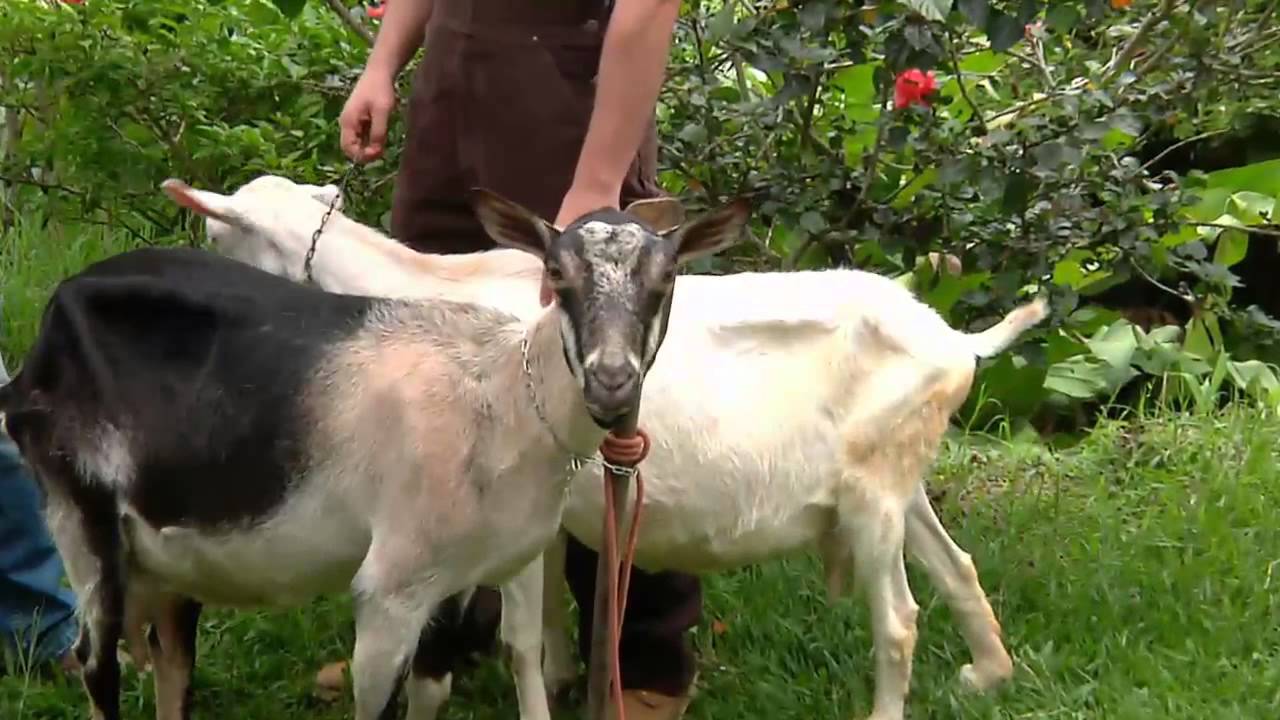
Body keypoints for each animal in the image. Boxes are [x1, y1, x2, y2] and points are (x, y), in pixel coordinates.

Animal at [0, 188, 747, 720]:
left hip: (166, 549)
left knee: (172, 657)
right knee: (96, 664)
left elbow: (434, 689)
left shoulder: (457, 578)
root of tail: (40, 348)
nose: (612, 379)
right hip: (81, 513)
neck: (505, 397)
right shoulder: (391, 588)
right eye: (557, 275)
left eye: (665, 280)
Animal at [163, 175, 1046, 720]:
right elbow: (542, 621)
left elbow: (517, 634)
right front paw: (558, 679)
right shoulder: (545, 513)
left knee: (898, 620)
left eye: (217, 228)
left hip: (872, 498)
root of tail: (958, 342)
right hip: (899, 480)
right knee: (955, 566)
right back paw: (988, 676)